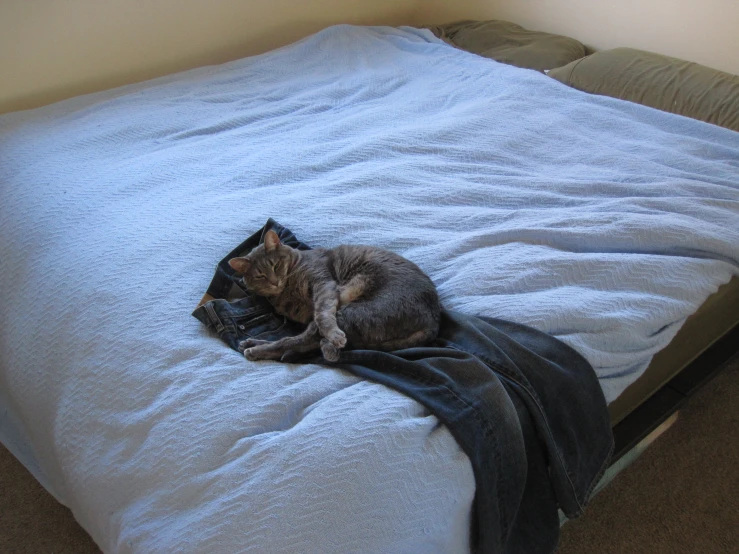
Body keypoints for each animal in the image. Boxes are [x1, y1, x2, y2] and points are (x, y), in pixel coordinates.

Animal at [230, 229, 440, 362]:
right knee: (300, 341)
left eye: (275, 265)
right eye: (260, 276)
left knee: (297, 341)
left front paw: (333, 335)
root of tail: (433, 320)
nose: (274, 282)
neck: (287, 292)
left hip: (354, 310)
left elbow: (323, 316)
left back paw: (254, 349)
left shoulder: (323, 284)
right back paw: (250, 343)